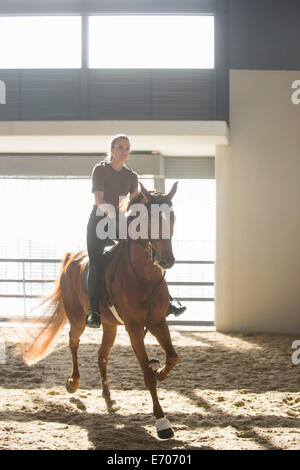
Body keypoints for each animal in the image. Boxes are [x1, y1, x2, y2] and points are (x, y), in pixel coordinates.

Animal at [21, 182, 180, 438]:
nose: (166, 260)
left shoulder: (157, 322)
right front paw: (162, 421)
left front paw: (160, 371)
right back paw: (73, 383)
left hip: (110, 325)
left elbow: (173, 357)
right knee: (73, 342)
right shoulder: (134, 328)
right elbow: (147, 375)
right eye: (147, 219)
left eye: (172, 217)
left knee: (101, 356)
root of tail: (71, 258)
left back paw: (108, 399)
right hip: (78, 318)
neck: (143, 275)